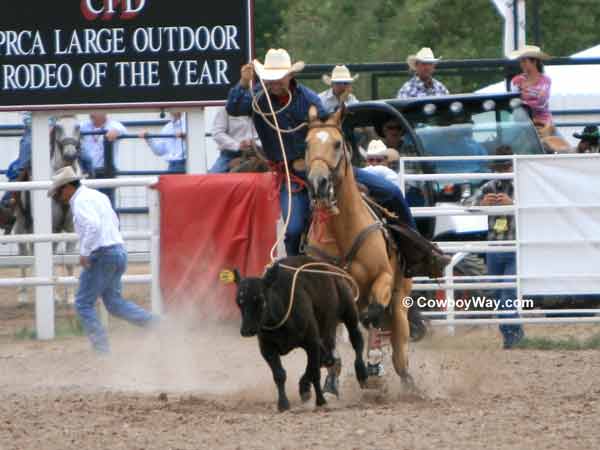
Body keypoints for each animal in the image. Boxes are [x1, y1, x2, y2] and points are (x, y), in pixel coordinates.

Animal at [15, 116, 82, 304]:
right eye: (58, 127)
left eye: (78, 127)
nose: (70, 154)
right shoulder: (50, 228)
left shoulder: (71, 229)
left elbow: (69, 261)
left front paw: (71, 297)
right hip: (22, 225)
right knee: (23, 256)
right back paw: (23, 295)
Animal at [304, 104, 412, 386]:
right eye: (307, 144)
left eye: (337, 143)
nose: (318, 182)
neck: (343, 232)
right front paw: (334, 371)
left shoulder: (383, 278)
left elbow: (371, 315)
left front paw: (371, 360)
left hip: (400, 298)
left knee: (398, 346)